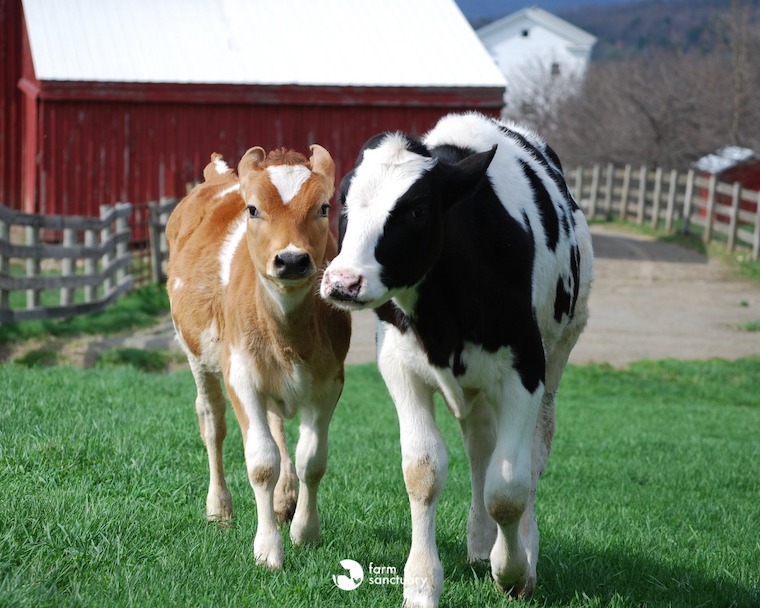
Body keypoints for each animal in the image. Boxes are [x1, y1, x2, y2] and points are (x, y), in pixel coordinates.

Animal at [166, 145, 351, 570]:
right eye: (252, 209)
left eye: (323, 207)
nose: (292, 260)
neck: (289, 334)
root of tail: (218, 175)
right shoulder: (242, 376)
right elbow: (261, 461)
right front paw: (268, 548)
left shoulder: (330, 380)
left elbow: (312, 459)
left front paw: (305, 532)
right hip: (197, 355)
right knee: (212, 422)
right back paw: (219, 508)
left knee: (277, 427)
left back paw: (285, 499)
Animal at [320, 112, 593, 607]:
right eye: (342, 201)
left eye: (415, 210)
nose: (343, 282)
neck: (443, 316)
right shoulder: (400, 369)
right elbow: (423, 471)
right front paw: (421, 585)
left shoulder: (525, 371)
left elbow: (509, 488)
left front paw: (513, 571)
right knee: (480, 447)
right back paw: (481, 542)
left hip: (558, 355)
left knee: (532, 458)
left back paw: (522, 550)